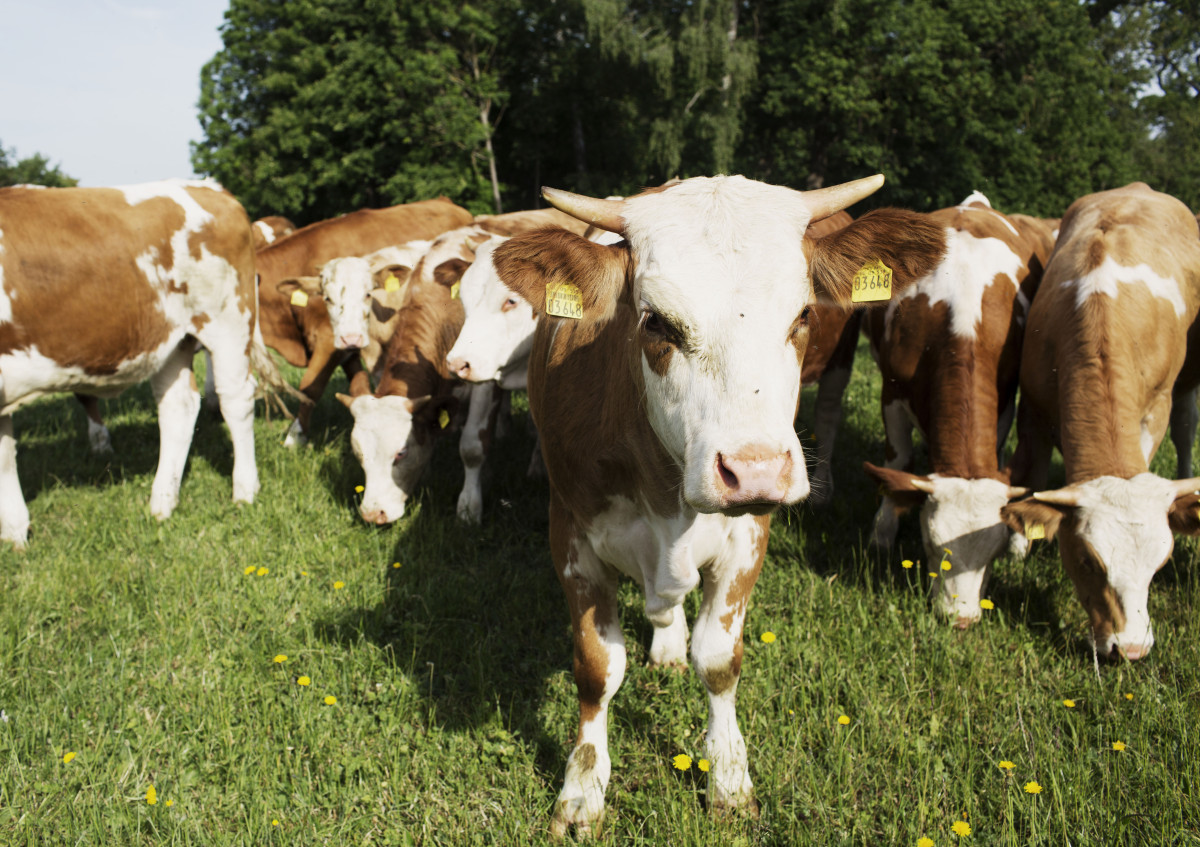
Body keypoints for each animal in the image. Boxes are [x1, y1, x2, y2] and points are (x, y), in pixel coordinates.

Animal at [0, 179, 274, 547]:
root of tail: (208, 186)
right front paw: (14, 533)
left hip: (227, 321)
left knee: (235, 400)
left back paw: (244, 490)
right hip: (173, 341)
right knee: (179, 408)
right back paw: (162, 503)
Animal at [255, 196, 470, 446]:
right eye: (326, 297)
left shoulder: (329, 341)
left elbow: (310, 387)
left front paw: (295, 438)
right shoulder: (347, 345)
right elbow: (359, 386)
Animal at [487, 175, 945, 835]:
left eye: (803, 315)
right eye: (656, 323)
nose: (755, 468)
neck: (665, 490)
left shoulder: (749, 535)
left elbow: (719, 660)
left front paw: (728, 778)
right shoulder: (571, 535)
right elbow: (597, 668)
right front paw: (581, 790)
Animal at [859, 193, 1056, 628]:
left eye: (993, 553)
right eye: (932, 543)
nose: (961, 619)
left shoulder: (1003, 398)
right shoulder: (892, 391)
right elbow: (898, 460)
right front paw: (882, 532)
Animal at [998, 183, 1200, 662]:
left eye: (1160, 564)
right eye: (1089, 561)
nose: (1131, 650)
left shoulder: (1156, 407)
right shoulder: (1033, 405)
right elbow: (1031, 475)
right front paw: (1018, 546)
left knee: (1187, 430)